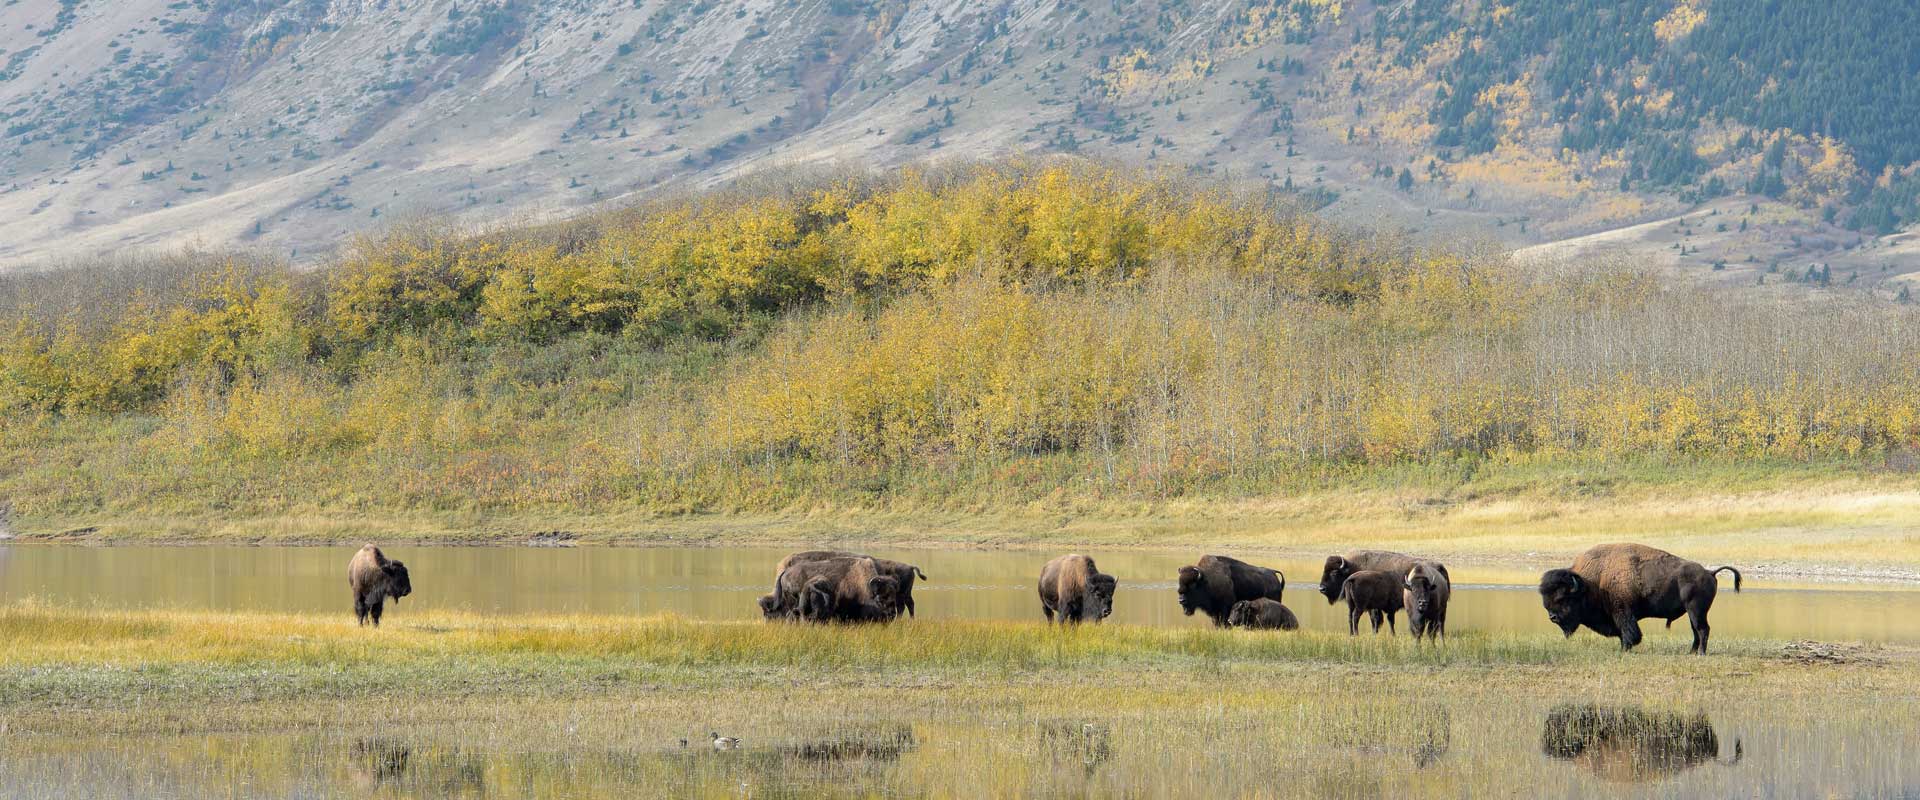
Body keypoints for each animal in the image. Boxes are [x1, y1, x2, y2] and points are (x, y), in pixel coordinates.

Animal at [1536, 541, 1751, 652]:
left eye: (1563, 598)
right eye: (1547, 601)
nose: (1552, 617)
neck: (1593, 581)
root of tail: (1710, 572)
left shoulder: (1623, 612)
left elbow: (1629, 632)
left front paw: (1625, 649)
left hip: (1696, 610)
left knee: (1703, 629)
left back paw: (1700, 654)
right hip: (1693, 612)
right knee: (1697, 631)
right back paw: (1691, 652)